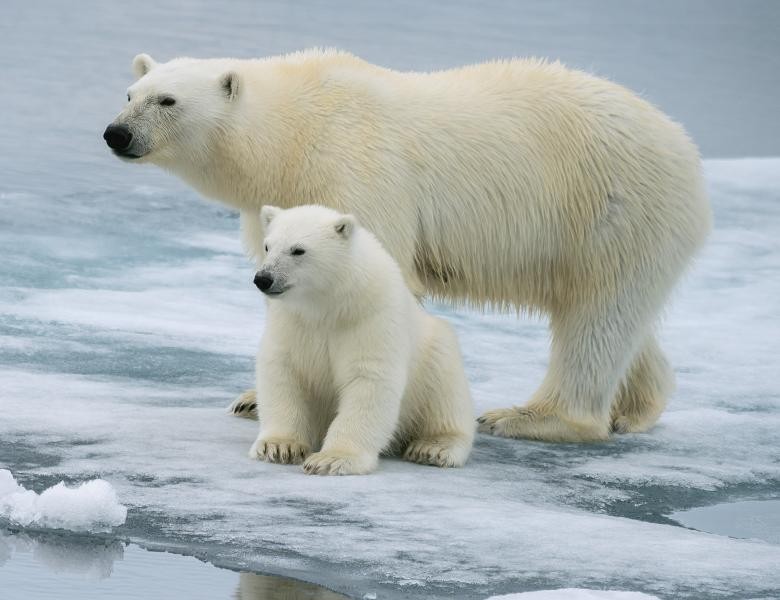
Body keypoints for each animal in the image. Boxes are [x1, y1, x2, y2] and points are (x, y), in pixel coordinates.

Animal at [105, 48, 712, 440]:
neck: (291, 134)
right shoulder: (274, 202)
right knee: (616, 314)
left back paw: (530, 418)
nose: (116, 133)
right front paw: (252, 397)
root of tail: (684, 145)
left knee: (597, 316)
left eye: (167, 100)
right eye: (130, 93)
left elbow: (377, 276)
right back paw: (635, 409)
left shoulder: (355, 170)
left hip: (612, 206)